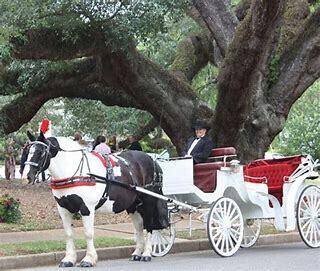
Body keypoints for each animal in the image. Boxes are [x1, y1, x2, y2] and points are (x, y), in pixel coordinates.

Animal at [23, 132, 169, 268]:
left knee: (149, 226)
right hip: (133, 205)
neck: (74, 170)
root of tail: (152, 160)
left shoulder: (86, 208)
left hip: (148, 201)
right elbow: (68, 234)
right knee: (139, 227)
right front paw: (68, 259)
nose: (26, 176)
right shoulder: (63, 208)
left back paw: (146, 254)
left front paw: (89, 259)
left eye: (41, 152)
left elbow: (88, 233)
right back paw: (137, 253)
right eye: (27, 151)